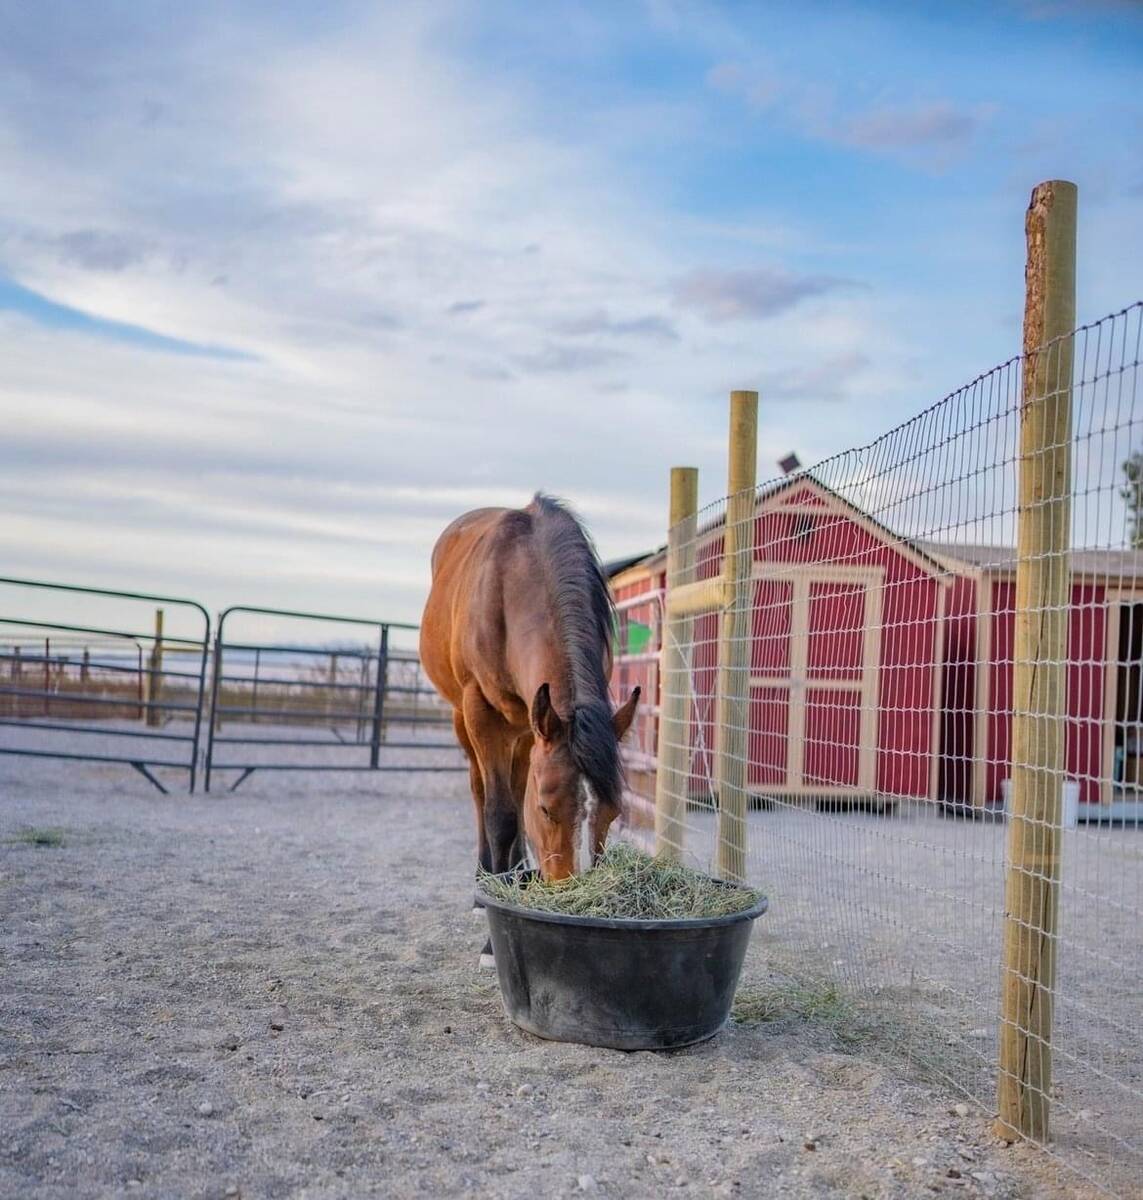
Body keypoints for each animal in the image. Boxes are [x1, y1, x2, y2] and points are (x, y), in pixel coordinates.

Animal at [419, 494, 640, 905]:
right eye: (546, 809)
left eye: (614, 811)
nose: (575, 888)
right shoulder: (480, 712)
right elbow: (501, 813)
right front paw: (491, 893)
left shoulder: (535, 720)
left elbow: (517, 802)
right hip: (464, 717)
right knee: (481, 790)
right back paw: (485, 871)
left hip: (526, 727)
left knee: (517, 781)